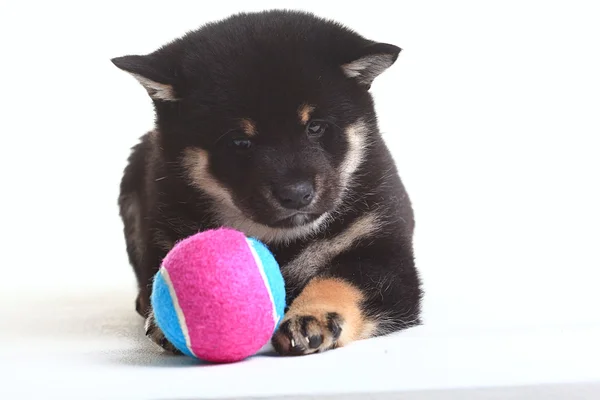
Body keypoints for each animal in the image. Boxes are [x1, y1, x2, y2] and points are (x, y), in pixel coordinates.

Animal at [112, 9, 422, 354]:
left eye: (315, 127)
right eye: (239, 142)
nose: (296, 194)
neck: (283, 240)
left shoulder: (384, 254)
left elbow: (340, 281)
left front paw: (313, 316)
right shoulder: (166, 232)